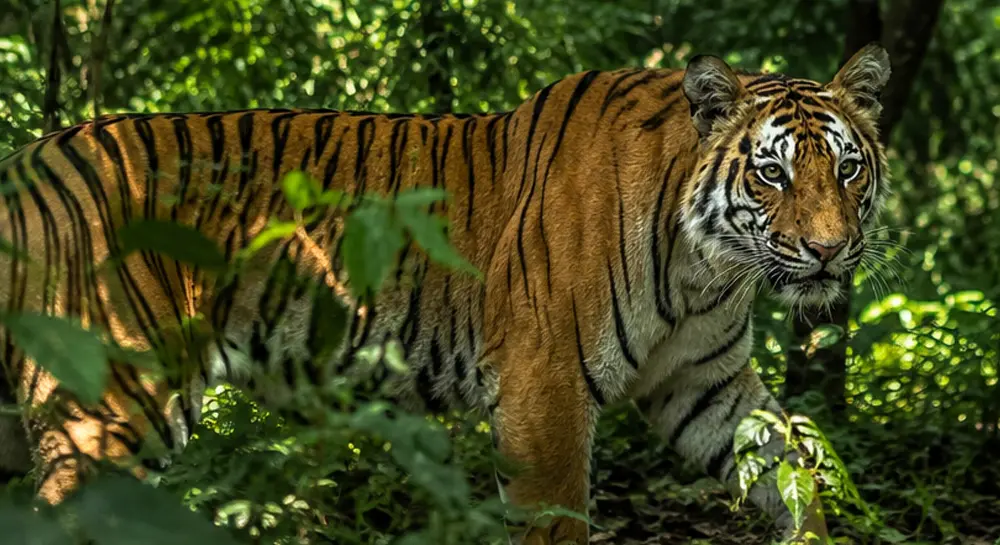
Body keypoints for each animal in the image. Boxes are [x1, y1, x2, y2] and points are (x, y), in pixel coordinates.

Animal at [0, 43, 891, 544]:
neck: (709, 264)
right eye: (772, 172)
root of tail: (23, 161)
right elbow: (556, 523)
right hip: (108, 403)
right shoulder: (545, 387)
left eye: (848, 167)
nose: (827, 250)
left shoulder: (703, 381)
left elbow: (787, 461)